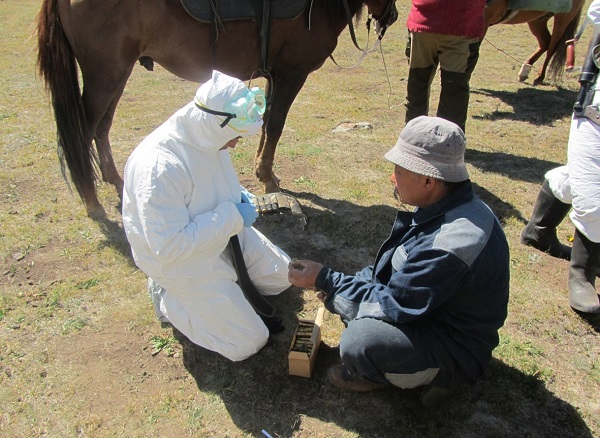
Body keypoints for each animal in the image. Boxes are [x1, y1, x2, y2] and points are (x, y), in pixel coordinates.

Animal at [35, 0, 396, 216]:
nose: (392, 16)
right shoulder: (291, 74)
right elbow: (276, 124)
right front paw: (268, 178)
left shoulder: (274, 75)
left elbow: (267, 122)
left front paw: (263, 172)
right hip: (105, 74)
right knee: (83, 132)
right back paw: (91, 199)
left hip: (117, 73)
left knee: (102, 126)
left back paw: (114, 180)